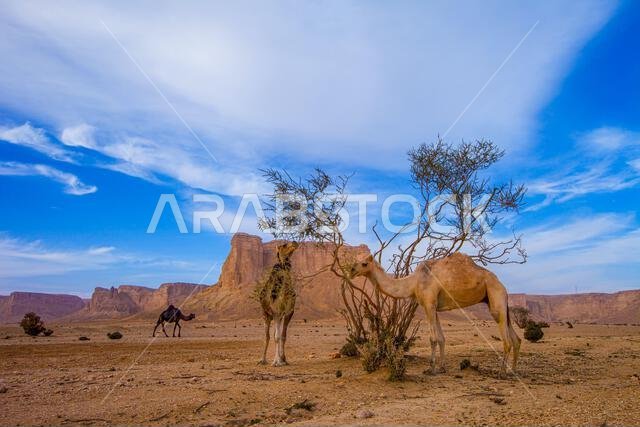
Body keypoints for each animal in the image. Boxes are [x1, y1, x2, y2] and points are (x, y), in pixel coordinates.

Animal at [349, 252, 521, 377]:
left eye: (364, 263)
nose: (351, 270)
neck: (413, 282)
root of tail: (503, 286)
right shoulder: (434, 307)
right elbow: (442, 338)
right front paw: (442, 368)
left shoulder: (429, 303)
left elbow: (433, 338)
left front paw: (430, 369)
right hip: (500, 302)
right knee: (516, 339)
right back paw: (513, 371)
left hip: (495, 297)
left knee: (507, 340)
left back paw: (501, 373)